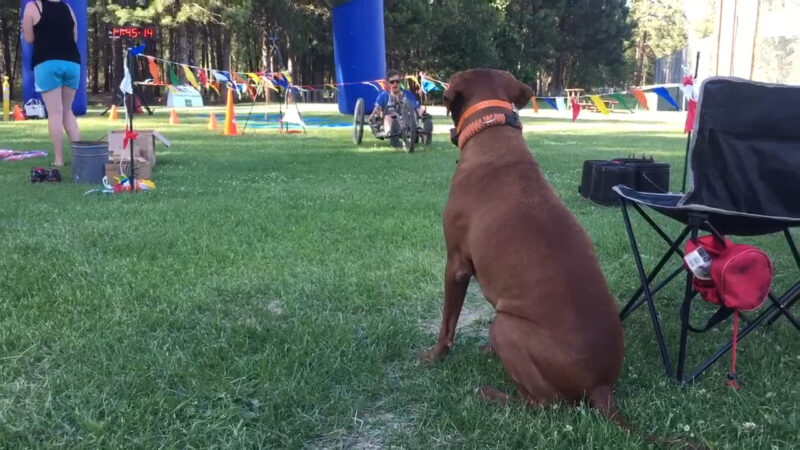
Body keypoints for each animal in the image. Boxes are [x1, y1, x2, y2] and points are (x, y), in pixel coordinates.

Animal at [422, 68, 628, 428]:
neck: (493, 131)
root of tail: (601, 387)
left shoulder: (456, 265)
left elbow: (447, 323)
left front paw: (436, 356)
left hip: (505, 326)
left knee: (543, 403)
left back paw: (493, 394)